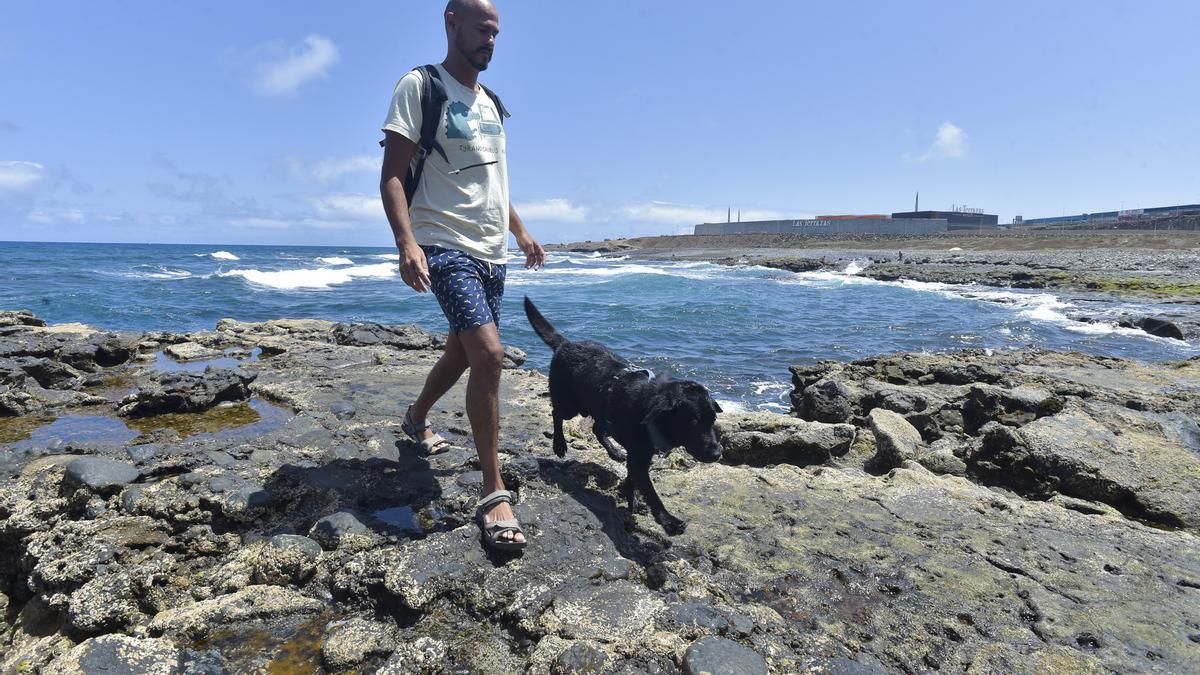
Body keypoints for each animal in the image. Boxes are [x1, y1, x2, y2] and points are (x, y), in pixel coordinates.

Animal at [525, 296, 720, 533]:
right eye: (693, 422)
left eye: (713, 420)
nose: (717, 453)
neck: (648, 409)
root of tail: (566, 344)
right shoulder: (639, 459)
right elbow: (652, 493)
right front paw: (668, 521)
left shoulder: (640, 457)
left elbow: (632, 481)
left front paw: (633, 502)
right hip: (571, 404)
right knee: (556, 413)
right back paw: (559, 444)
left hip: (600, 410)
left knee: (596, 429)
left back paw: (614, 451)